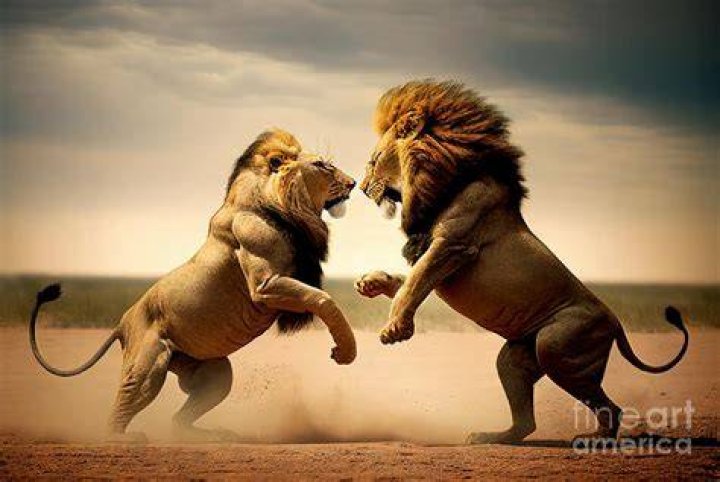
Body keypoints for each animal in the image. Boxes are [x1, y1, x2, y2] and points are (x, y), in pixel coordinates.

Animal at [29, 129, 357, 443]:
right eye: (322, 165)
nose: (353, 183)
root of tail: (122, 323)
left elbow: (319, 296)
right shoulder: (265, 284)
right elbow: (323, 299)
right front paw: (344, 351)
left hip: (216, 372)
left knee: (178, 421)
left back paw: (216, 436)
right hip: (151, 363)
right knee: (121, 408)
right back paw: (121, 439)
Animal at [355, 80, 689, 444]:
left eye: (373, 161)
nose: (360, 188)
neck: (443, 183)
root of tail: (616, 323)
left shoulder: (453, 246)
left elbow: (413, 285)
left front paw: (394, 329)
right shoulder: (437, 252)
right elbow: (407, 281)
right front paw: (370, 283)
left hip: (556, 345)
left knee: (611, 408)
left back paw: (595, 439)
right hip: (518, 357)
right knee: (526, 421)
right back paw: (492, 437)